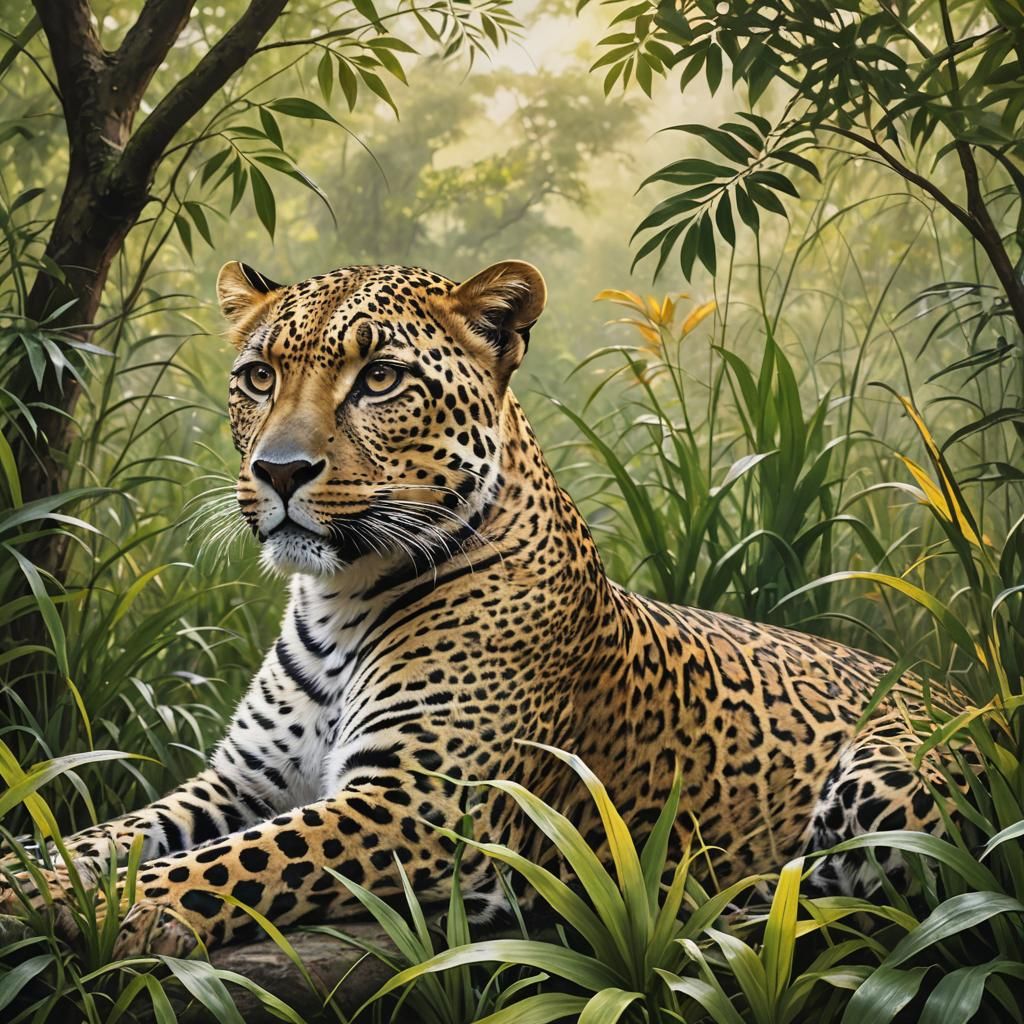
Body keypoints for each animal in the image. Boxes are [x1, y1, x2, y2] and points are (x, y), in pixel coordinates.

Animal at [0, 258, 950, 958]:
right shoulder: (243, 779)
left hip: (888, 778)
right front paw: (31, 874)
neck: (338, 598)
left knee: (877, 903)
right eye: (259, 377)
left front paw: (116, 907)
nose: (278, 471)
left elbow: (247, 858)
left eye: (380, 379)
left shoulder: (420, 801)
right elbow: (123, 830)